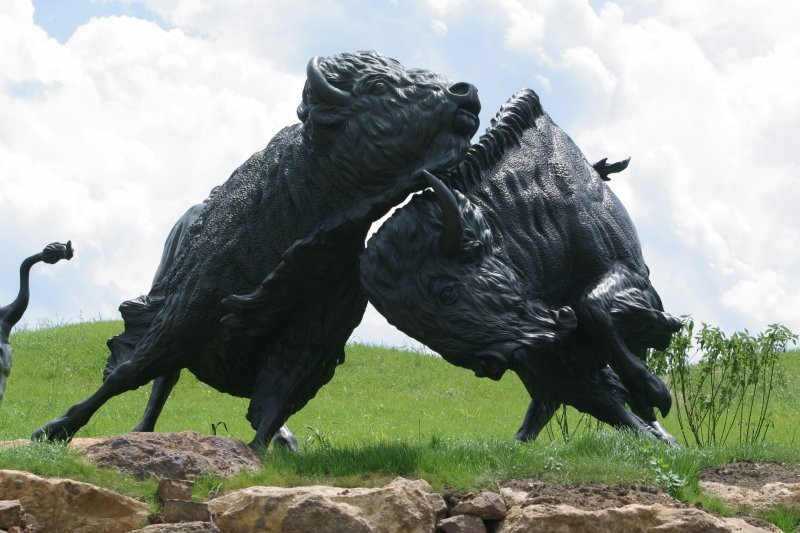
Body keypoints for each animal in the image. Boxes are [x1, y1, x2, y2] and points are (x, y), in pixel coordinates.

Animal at [31, 52, 478, 446]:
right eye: (378, 85)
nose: (465, 93)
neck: (304, 198)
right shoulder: (187, 308)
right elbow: (130, 370)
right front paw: (52, 430)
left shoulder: (315, 331)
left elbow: (278, 396)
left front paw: (263, 450)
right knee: (163, 377)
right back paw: (141, 431)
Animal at [362, 88, 680, 444]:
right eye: (407, 325)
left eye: (446, 292)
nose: (490, 362)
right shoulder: (545, 354)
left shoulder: (632, 276)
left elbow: (596, 309)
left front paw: (660, 371)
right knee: (582, 400)